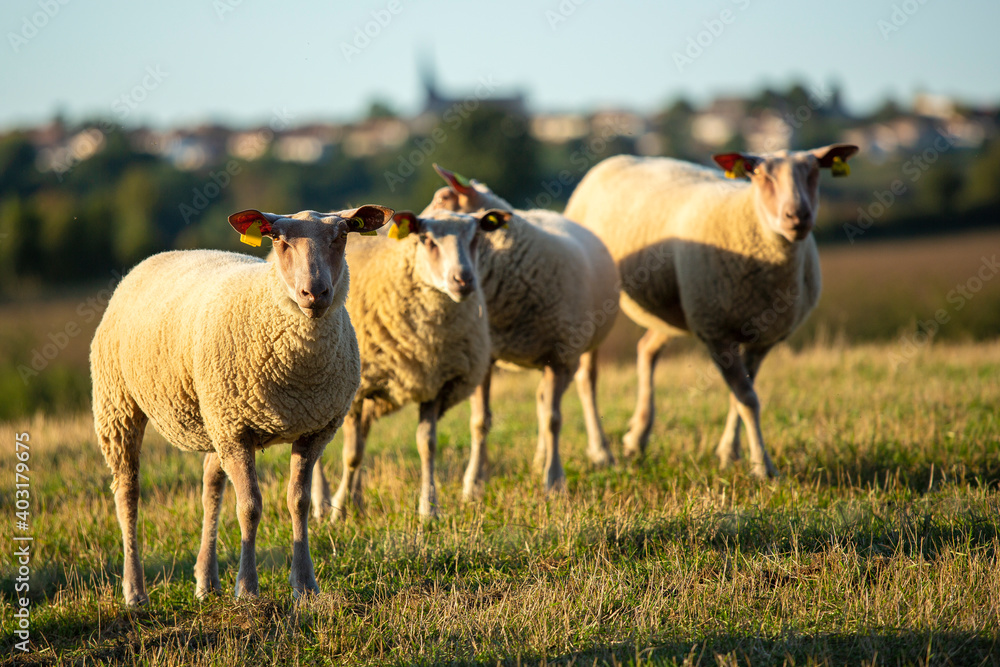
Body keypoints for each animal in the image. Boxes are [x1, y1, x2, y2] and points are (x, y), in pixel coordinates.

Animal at [90, 203, 393, 605]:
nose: (315, 293)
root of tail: (157, 257)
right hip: (119, 403)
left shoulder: (313, 431)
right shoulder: (238, 432)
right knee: (128, 492)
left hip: (213, 417)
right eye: (277, 239)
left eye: (342, 235)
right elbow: (249, 506)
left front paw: (305, 586)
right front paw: (247, 589)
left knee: (210, 487)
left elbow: (299, 502)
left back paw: (206, 582)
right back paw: (135, 591)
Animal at [310, 207, 510, 521]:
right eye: (427, 239)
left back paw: (357, 500)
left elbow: (427, 445)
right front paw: (338, 511)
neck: (428, 337)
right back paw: (321, 502)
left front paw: (429, 508)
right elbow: (352, 455)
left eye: (476, 236)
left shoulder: (434, 383)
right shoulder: (359, 388)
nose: (464, 280)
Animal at [422, 164, 620, 497]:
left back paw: (601, 453)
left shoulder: (561, 356)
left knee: (585, 387)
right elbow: (480, 421)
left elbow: (554, 420)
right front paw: (475, 482)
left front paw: (554, 482)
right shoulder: (487, 358)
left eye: (443, 198)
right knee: (541, 400)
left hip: (586, 344)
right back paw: (539, 458)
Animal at [563, 144, 858, 478]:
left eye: (814, 172)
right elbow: (747, 399)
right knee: (587, 376)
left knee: (646, 350)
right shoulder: (716, 332)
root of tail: (615, 160)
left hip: (675, 310)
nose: (797, 216)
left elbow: (741, 396)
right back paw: (602, 452)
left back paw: (637, 438)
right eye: (760, 175)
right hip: (599, 305)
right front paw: (763, 467)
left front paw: (730, 453)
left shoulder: (762, 338)